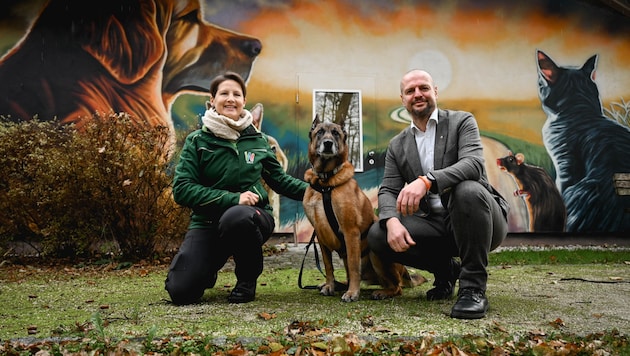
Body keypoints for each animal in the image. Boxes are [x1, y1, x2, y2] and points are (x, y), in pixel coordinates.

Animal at [304, 115, 428, 302]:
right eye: (320, 132)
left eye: (335, 133)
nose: (328, 143)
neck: (325, 183)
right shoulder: (320, 234)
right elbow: (328, 266)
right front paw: (330, 285)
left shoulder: (350, 232)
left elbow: (354, 266)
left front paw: (352, 293)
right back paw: (338, 285)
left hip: (375, 255)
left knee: (396, 286)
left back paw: (381, 292)